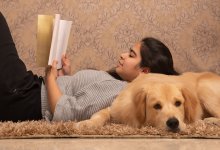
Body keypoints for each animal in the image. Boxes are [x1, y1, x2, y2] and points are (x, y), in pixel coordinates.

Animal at [76, 72, 220, 132]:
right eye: (156, 106)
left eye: (178, 103)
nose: (173, 123)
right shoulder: (115, 109)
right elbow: (100, 114)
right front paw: (86, 124)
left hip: (204, 88)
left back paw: (207, 121)